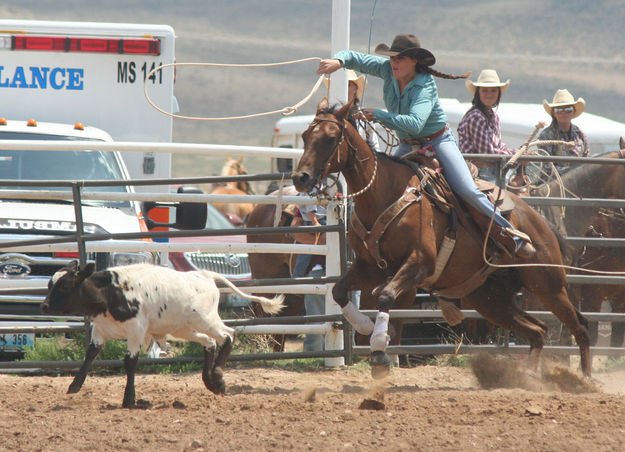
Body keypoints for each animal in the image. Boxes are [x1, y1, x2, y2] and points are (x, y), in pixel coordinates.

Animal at [43, 260, 286, 408]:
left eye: (64, 286)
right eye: (49, 283)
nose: (44, 307)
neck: (110, 292)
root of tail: (203, 275)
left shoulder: (136, 329)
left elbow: (130, 362)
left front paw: (129, 399)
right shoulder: (100, 329)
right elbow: (90, 354)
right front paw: (74, 385)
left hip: (206, 319)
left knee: (228, 335)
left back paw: (217, 376)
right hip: (185, 328)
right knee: (209, 342)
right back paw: (211, 382)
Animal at [290, 99, 588, 378]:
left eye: (330, 138)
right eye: (305, 136)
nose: (300, 177)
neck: (385, 192)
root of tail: (542, 223)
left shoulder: (420, 264)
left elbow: (385, 296)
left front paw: (379, 348)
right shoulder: (371, 267)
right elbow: (339, 291)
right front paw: (365, 326)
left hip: (548, 284)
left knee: (580, 326)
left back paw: (585, 379)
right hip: (491, 298)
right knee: (538, 330)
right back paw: (529, 376)